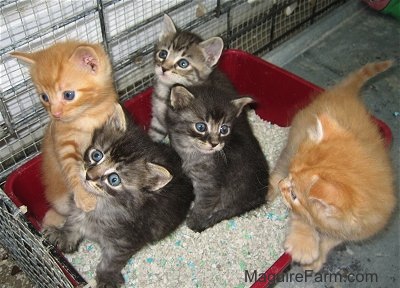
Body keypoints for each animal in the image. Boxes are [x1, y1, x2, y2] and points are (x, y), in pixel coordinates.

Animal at [10, 40, 119, 227]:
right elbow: (72, 169)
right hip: (59, 200)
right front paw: (84, 197)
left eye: (68, 95)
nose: (55, 114)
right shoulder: (62, 141)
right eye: (44, 97)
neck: (88, 115)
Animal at [44, 103, 194, 288]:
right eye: (96, 155)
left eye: (114, 179)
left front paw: (106, 277)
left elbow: (111, 261)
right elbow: (72, 223)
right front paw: (62, 235)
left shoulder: (124, 241)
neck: (103, 204)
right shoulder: (77, 209)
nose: (89, 176)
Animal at [166, 83, 268, 232]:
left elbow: (203, 206)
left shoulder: (209, 186)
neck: (191, 151)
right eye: (201, 127)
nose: (215, 143)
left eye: (224, 129)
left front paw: (193, 223)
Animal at [270, 59, 396, 272]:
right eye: (292, 189)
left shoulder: (358, 229)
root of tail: (344, 93)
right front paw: (303, 246)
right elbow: (302, 217)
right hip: (293, 142)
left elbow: (333, 240)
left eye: (295, 194)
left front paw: (317, 257)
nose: (282, 186)